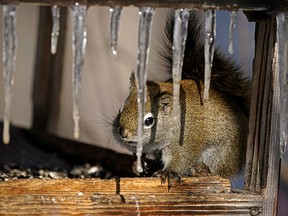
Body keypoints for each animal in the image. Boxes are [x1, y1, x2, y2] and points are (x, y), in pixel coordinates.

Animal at [112, 9, 250, 187]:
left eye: (149, 121)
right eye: (121, 109)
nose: (123, 133)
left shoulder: (186, 141)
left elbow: (182, 159)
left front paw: (169, 172)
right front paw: (138, 166)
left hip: (225, 153)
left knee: (221, 170)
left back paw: (202, 169)